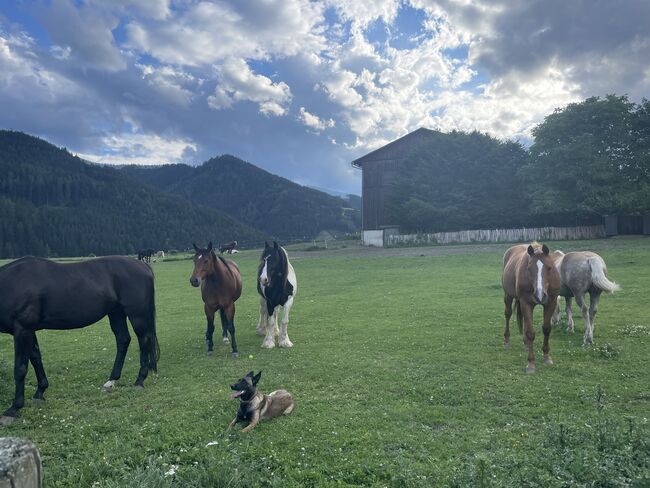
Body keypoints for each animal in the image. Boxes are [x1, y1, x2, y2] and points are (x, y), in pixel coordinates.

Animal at [0, 258, 160, 426]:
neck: (12, 284)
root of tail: (142, 265)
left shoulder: (22, 329)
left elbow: (20, 368)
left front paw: (13, 409)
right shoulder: (29, 330)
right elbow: (36, 359)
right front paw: (39, 392)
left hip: (137, 315)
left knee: (144, 340)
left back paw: (139, 381)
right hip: (116, 313)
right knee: (123, 340)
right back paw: (111, 381)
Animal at [498, 241, 560, 374]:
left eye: (549, 267)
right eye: (529, 268)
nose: (540, 295)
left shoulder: (551, 302)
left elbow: (546, 329)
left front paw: (547, 357)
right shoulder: (526, 303)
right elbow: (530, 333)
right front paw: (531, 364)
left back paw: (526, 344)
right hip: (508, 296)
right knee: (508, 314)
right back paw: (506, 341)